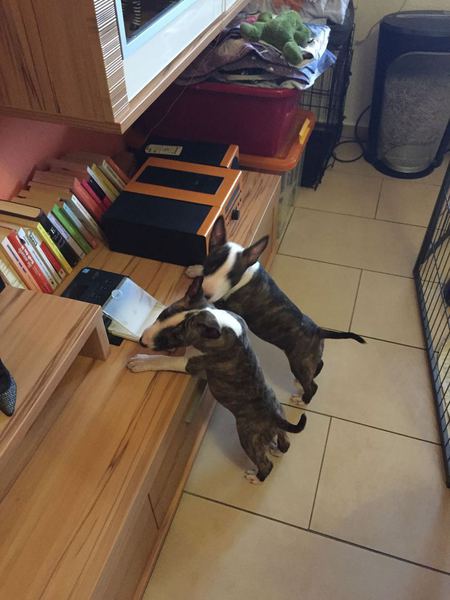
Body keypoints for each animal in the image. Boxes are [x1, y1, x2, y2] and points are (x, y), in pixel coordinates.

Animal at [127, 277, 307, 483]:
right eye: (163, 314)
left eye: (175, 335)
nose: (142, 341)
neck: (218, 322)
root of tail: (276, 417)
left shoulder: (192, 364)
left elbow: (164, 360)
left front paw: (141, 361)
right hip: (279, 422)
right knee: (285, 443)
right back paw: (276, 449)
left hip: (248, 437)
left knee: (265, 464)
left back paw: (256, 477)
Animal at [186, 216, 366, 404]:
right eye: (210, 265)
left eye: (231, 277)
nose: (206, 293)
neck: (246, 275)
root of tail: (318, 330)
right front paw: (195, 269)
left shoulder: (229, 305)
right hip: (310, 358)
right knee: (319, 365)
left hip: (299, 362)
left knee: (312, 385)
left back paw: (302, 399)